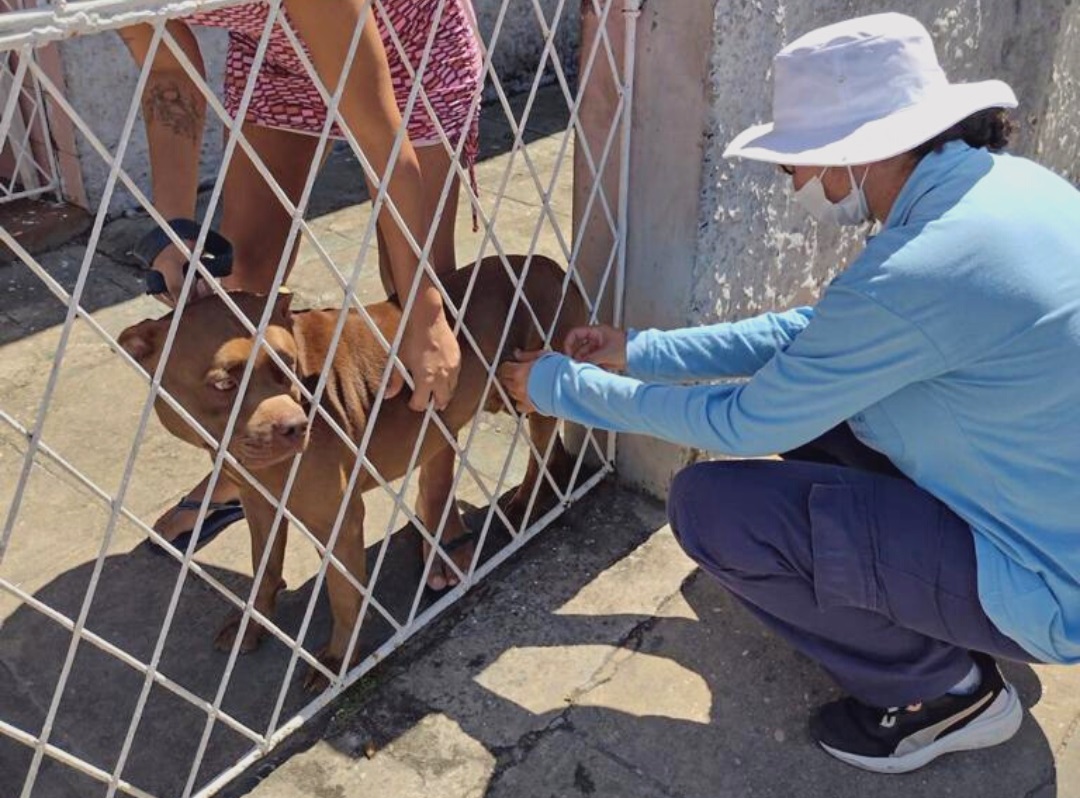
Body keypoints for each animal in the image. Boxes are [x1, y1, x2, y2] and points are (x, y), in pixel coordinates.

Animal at [120, 254, 583, 686]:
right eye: (223, 384)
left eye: (288, 366)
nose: (296, 427)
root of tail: (549, 265)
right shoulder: (261, 506)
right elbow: (263, 570)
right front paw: (253, 625)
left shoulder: (338, 520)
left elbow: (343, 593)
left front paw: (337, 660)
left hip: (529, 388)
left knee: (543, 444)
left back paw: (526, 500)